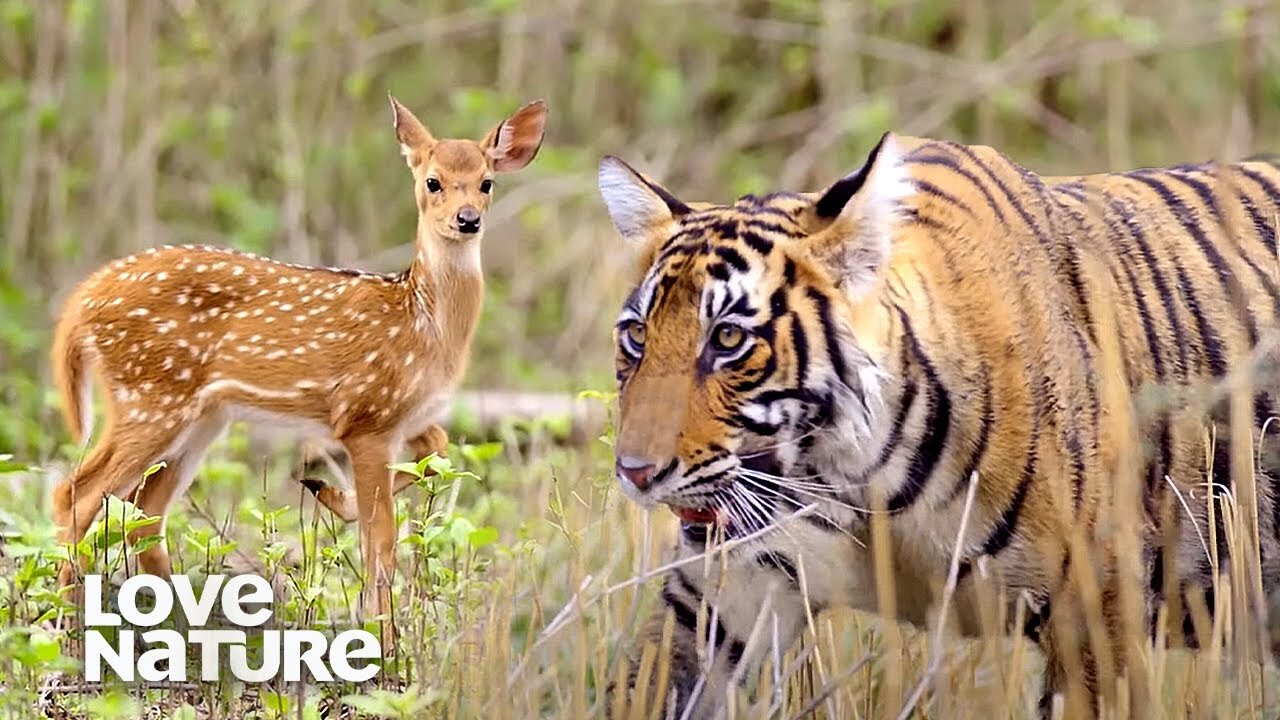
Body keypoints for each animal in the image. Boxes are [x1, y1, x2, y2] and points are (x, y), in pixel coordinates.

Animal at [593, 131, 1280, 712]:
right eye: (636, 336)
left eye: (729, 339)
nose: (636, 473)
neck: (851, 481)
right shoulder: (720, 601)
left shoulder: (1095, 607)